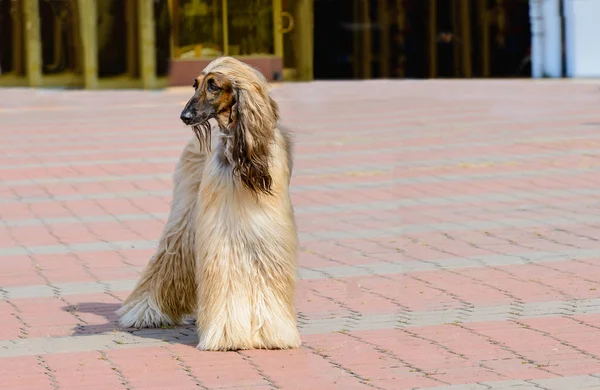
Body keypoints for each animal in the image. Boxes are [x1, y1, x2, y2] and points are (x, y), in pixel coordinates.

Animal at [117, 57, 300, 350]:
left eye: (213, 85)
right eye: (195, 84)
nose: (185, 116)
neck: (240, 156)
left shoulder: (266, 234)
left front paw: (270, 332)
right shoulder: (220, 233)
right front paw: (226, 333)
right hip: (187, 216)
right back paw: (146, 310)